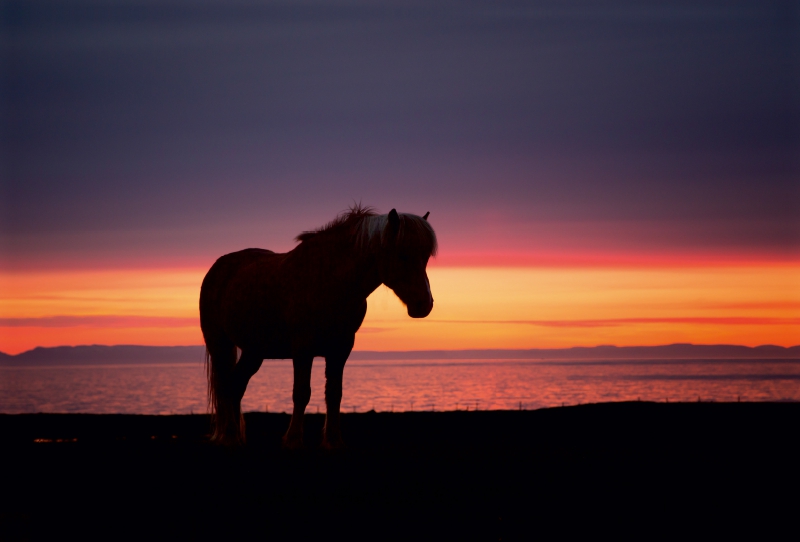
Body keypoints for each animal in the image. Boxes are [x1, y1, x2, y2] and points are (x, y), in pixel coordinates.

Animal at [200, 206, 438, 448]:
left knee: (236, 385)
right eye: (402, 254)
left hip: (254, 350)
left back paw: (235, 436)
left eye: (425, 256)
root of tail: (218, 268)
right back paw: (229, 434)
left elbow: (334, 393)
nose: (424, 305)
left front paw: (333, 439)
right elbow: (301, 393)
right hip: (219, 343)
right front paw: (293, 438)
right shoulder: (302, 348)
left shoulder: (341, 348)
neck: (330, 280)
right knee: (225, 385)